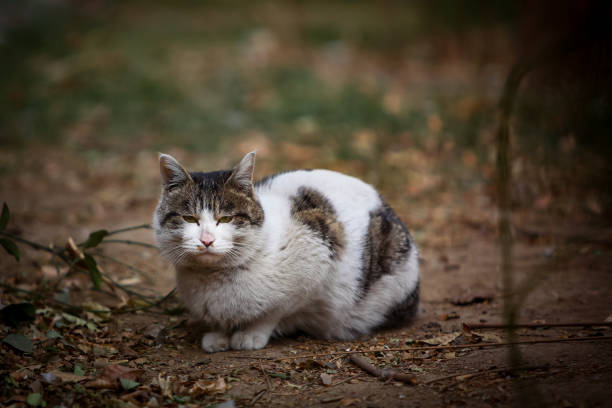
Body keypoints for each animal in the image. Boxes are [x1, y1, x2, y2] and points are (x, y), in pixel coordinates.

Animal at [154, 151, 420, 352]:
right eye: (189, 218)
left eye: (226, 218)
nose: (207, 240)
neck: (213, 280)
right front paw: (218, 335)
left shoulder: (315, 261)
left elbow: (272, 312)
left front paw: (250, 335)